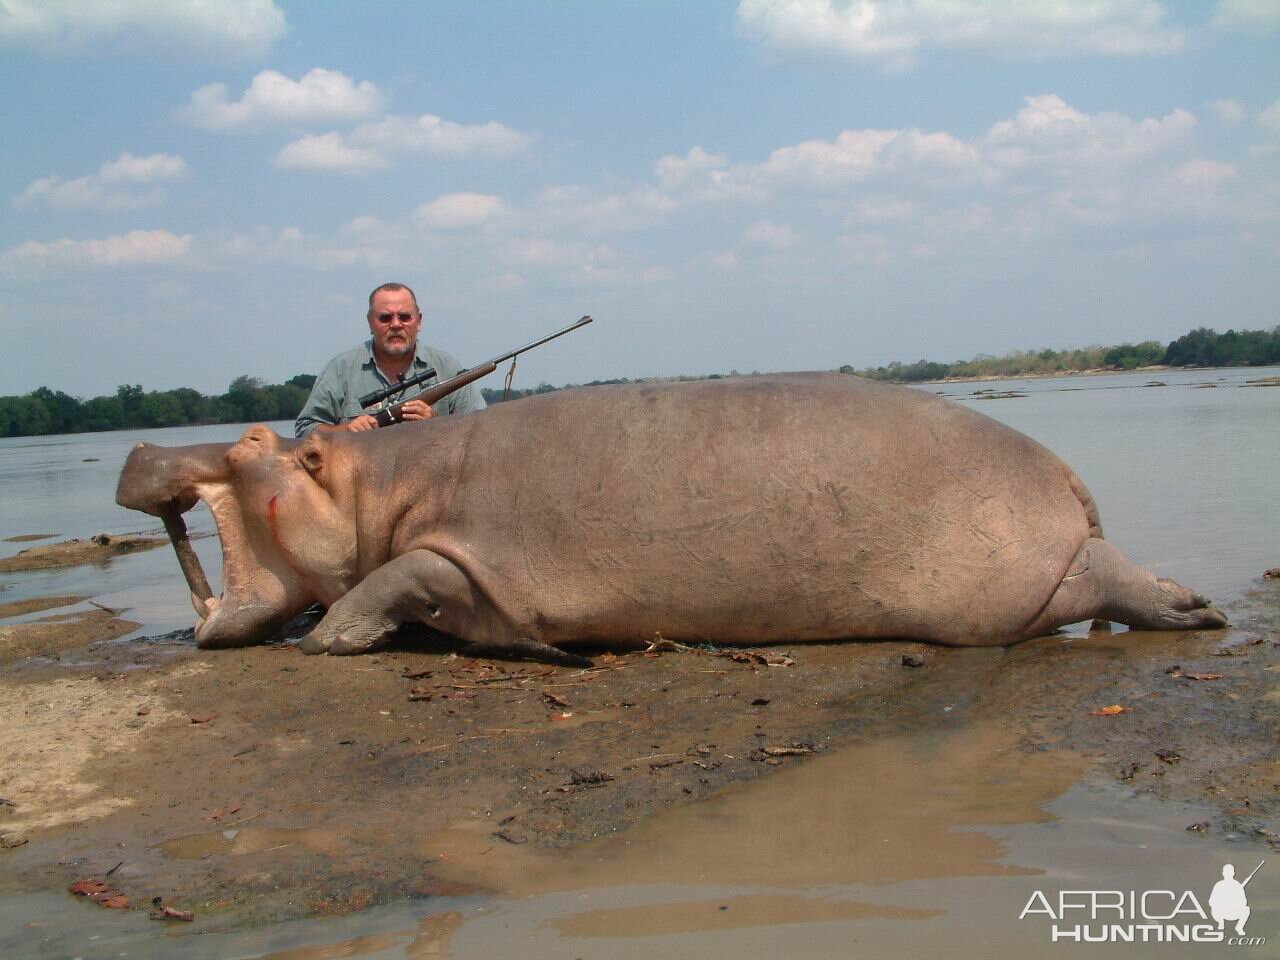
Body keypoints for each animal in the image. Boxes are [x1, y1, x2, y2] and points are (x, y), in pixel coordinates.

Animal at [115, 371, 1223, 660]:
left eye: (251, 442)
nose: (140, 448)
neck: (369, 479)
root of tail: (1064, 471)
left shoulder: (463, 553)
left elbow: (398, 573)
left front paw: (330, 640)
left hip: (1006, 578)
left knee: (1098, 579)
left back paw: (1194, 611)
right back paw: (1193, 600)